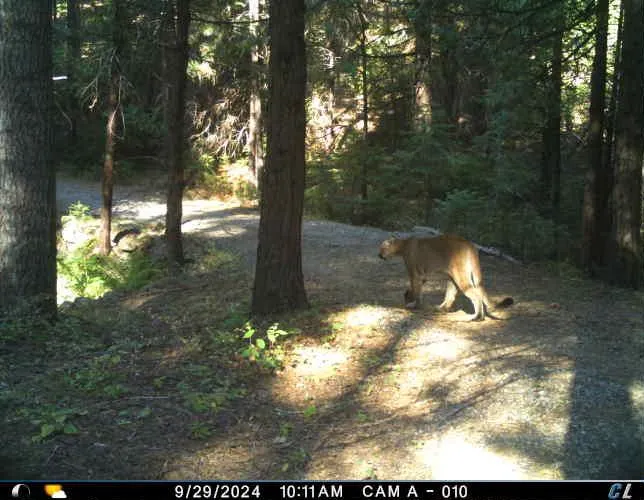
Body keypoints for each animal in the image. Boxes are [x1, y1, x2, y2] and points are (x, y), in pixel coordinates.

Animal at [378, 234, 513, 320]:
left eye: (382, 248)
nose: (379, 255)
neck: (404, 245)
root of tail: (470, 244)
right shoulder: (422, 277)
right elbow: (417, 291)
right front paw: (414, 302)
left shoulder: (414, 274)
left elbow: (416, 291)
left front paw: (414, 306)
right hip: (452, 278)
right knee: (452, 296)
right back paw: (442, 309)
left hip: (460, 277)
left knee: (476, 296)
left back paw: (475, 318)